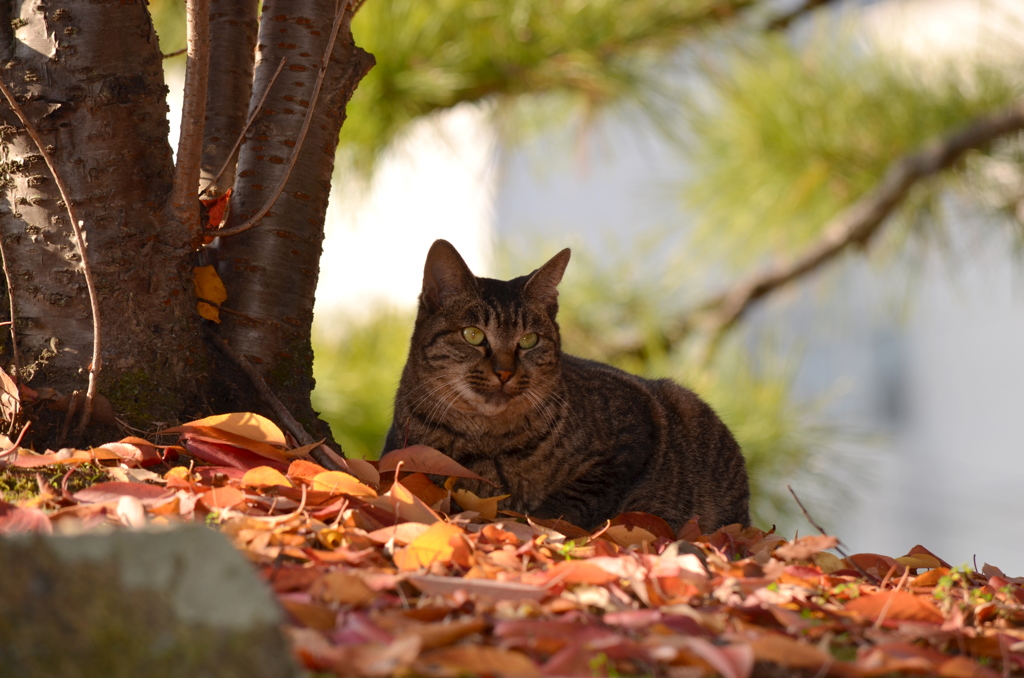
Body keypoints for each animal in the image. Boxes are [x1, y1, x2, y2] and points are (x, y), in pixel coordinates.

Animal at [380, 241, 749, 532]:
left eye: (529, 340)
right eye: (473, 335)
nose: (505, 372)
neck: (487, 438)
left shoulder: (634, 432)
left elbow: (570, 500)